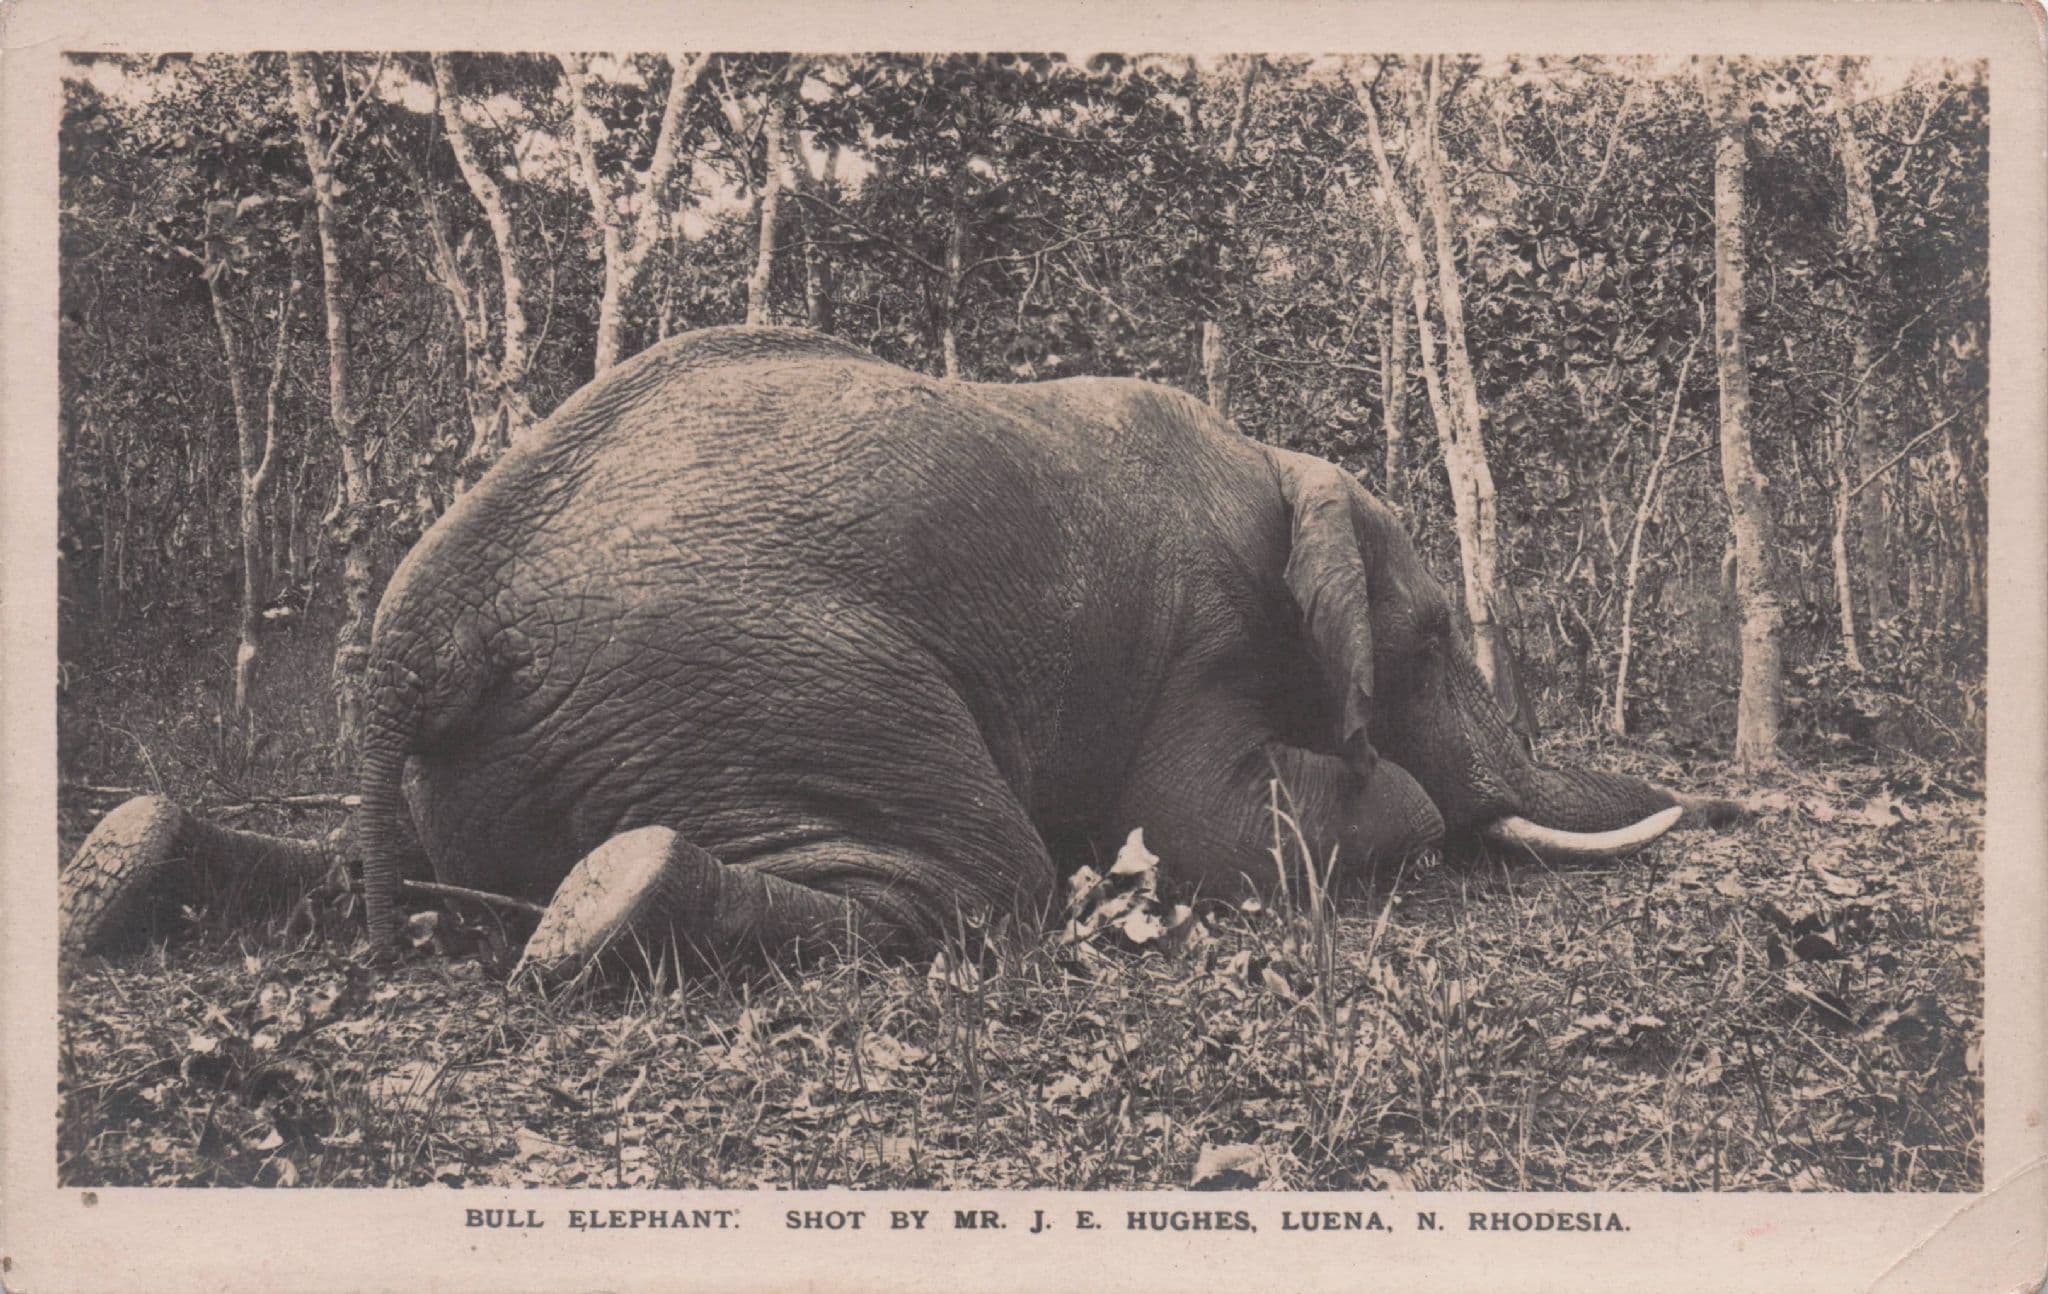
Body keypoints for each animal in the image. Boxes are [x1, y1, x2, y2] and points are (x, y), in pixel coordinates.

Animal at [63, 326, 1734, 985]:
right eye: (1438, 637)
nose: (1712, 805)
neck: (1280, 463)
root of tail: (427, 626)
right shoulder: (1200, 631)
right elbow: (1212, 823)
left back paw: (120, 863)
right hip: (760, 674)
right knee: (981, 877)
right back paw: (612, 906)